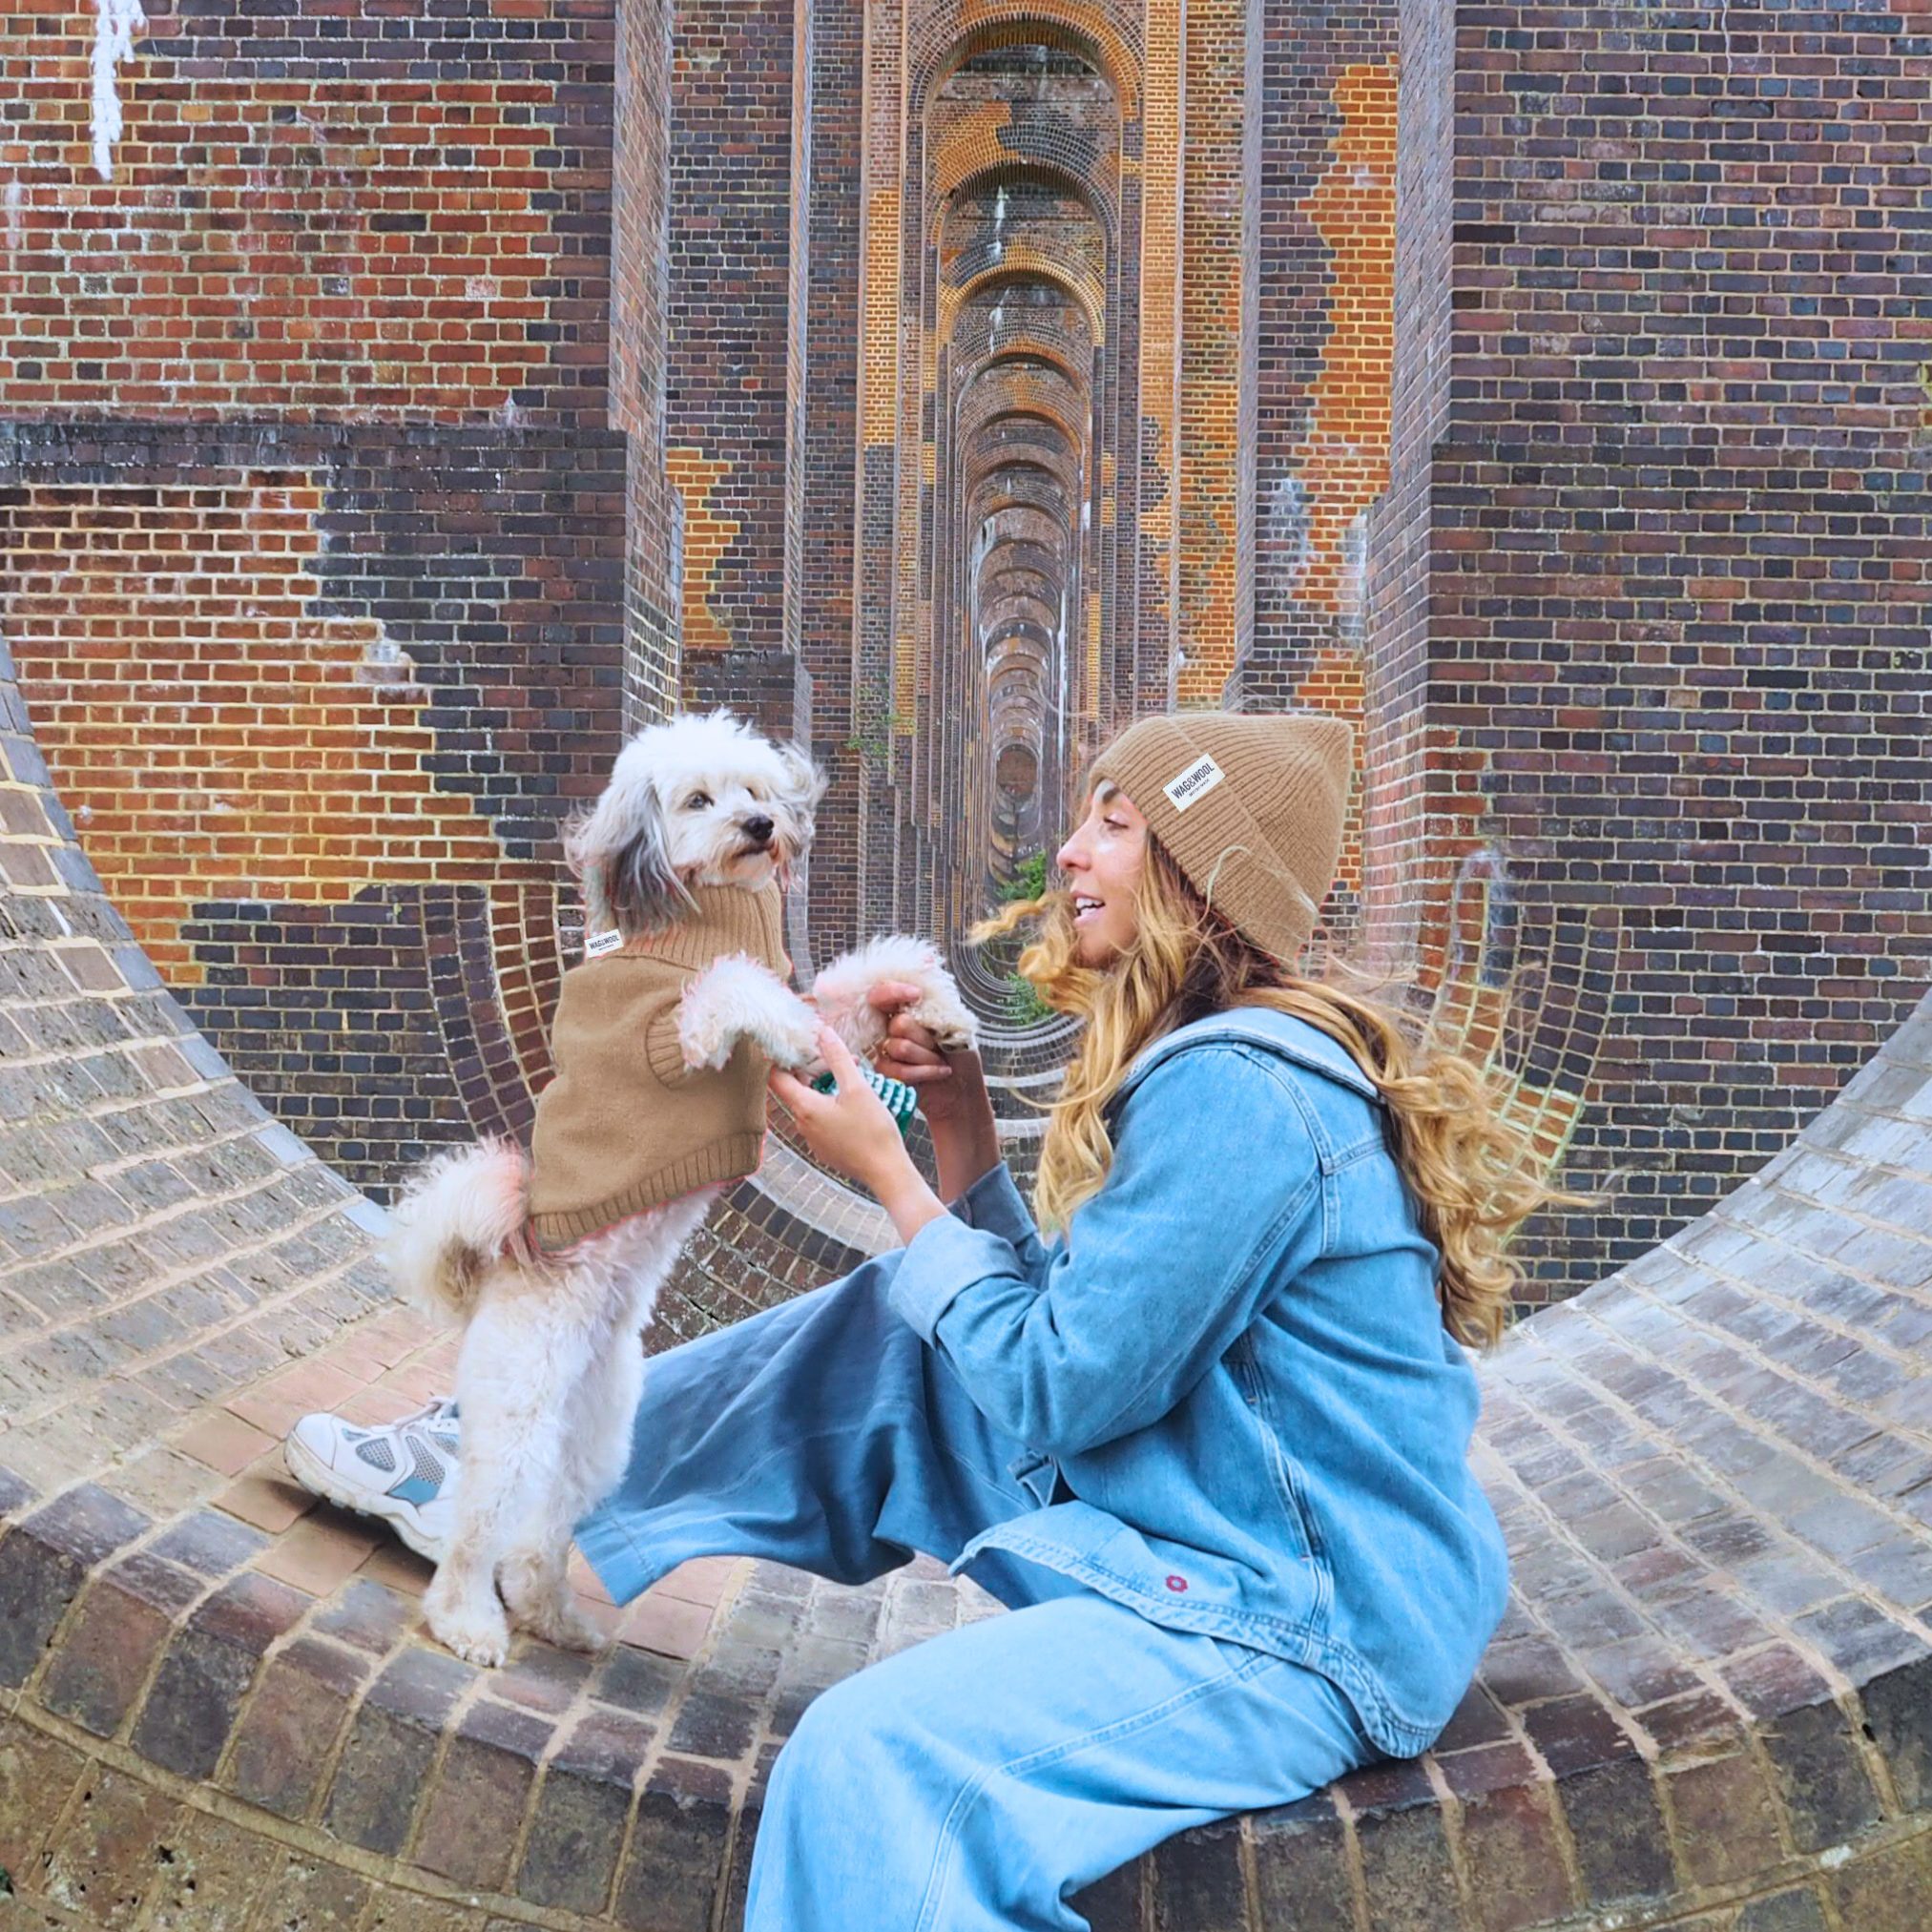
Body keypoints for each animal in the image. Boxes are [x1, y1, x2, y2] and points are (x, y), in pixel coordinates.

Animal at [382, 711, 973, 1661]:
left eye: (756, 790)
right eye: (697, 800)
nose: (761, 826)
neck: (704, 910)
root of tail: (506, 1258)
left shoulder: (810, 1003)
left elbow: (868, 973)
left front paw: (937, 1009)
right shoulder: (683, 1037)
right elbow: (734, 986)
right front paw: (799, 1037)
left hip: (599, 1431)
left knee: (542, 1529)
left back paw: (553, 1615)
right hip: (518, 1407)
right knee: (478, 1521)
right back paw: (468, 1620)